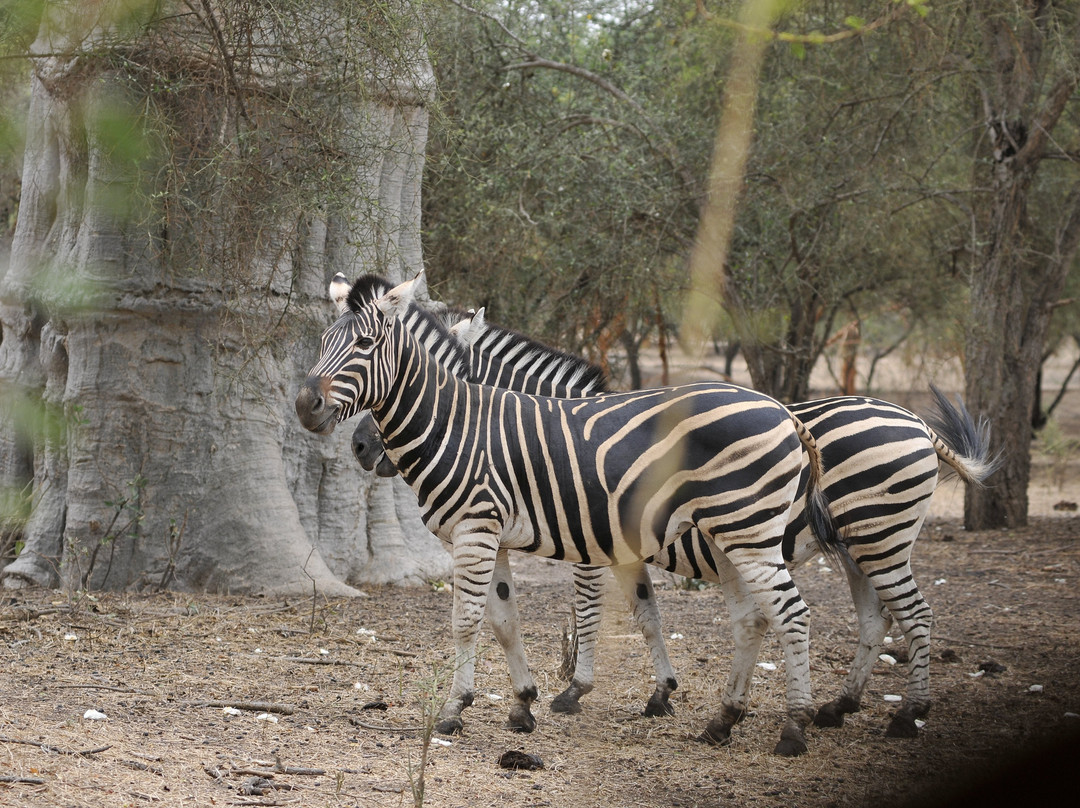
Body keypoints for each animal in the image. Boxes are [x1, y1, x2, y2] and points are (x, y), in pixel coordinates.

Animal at [298, 273, 842, 756]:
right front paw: (523, 705)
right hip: (732, 535)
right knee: (755, 619)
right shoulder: (496, 535)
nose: (307, 406)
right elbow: (508, 621)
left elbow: (476, 620)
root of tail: (782, 411)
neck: (461, 423)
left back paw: (796, 727)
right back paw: (723, 723)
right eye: (322, 343)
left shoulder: (488, 531)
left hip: (758, 532)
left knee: (793, 615)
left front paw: (457, 709)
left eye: (366, 343)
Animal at [352, 302, 993, 738]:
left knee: (912, 614)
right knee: (876, 619)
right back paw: (841, 706)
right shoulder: (624, 547)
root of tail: (916, 421)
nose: (360, 446)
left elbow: (591, 610)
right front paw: (661, 692)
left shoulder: (589, 543)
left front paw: (575, 689)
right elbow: (648, 615)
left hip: (877, 535)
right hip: (860, 546)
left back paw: (905, 715)